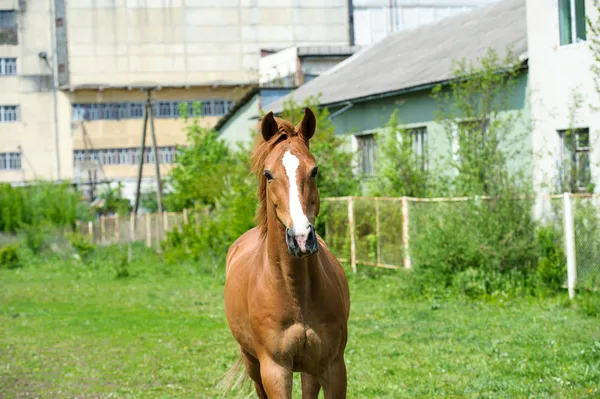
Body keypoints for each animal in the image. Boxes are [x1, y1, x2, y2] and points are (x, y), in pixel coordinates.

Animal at [223, 109, 350, 399]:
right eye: (269, 174)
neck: (294, 291)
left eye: (314, 170)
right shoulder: (275, 370)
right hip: (253, 364)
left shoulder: (333, 367)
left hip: (310, 369)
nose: (301, 238)